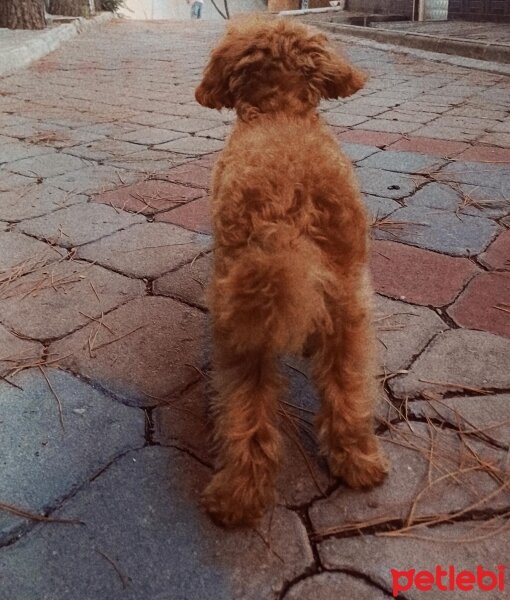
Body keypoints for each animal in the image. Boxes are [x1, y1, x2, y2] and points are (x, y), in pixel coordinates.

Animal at [194, 17, 386, 524]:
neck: (280, 113)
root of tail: (288, 216)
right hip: (347, 307)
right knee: (349, 389)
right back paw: (358, 460)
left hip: (241, 330)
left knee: (247, 412)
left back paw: (236, 495)